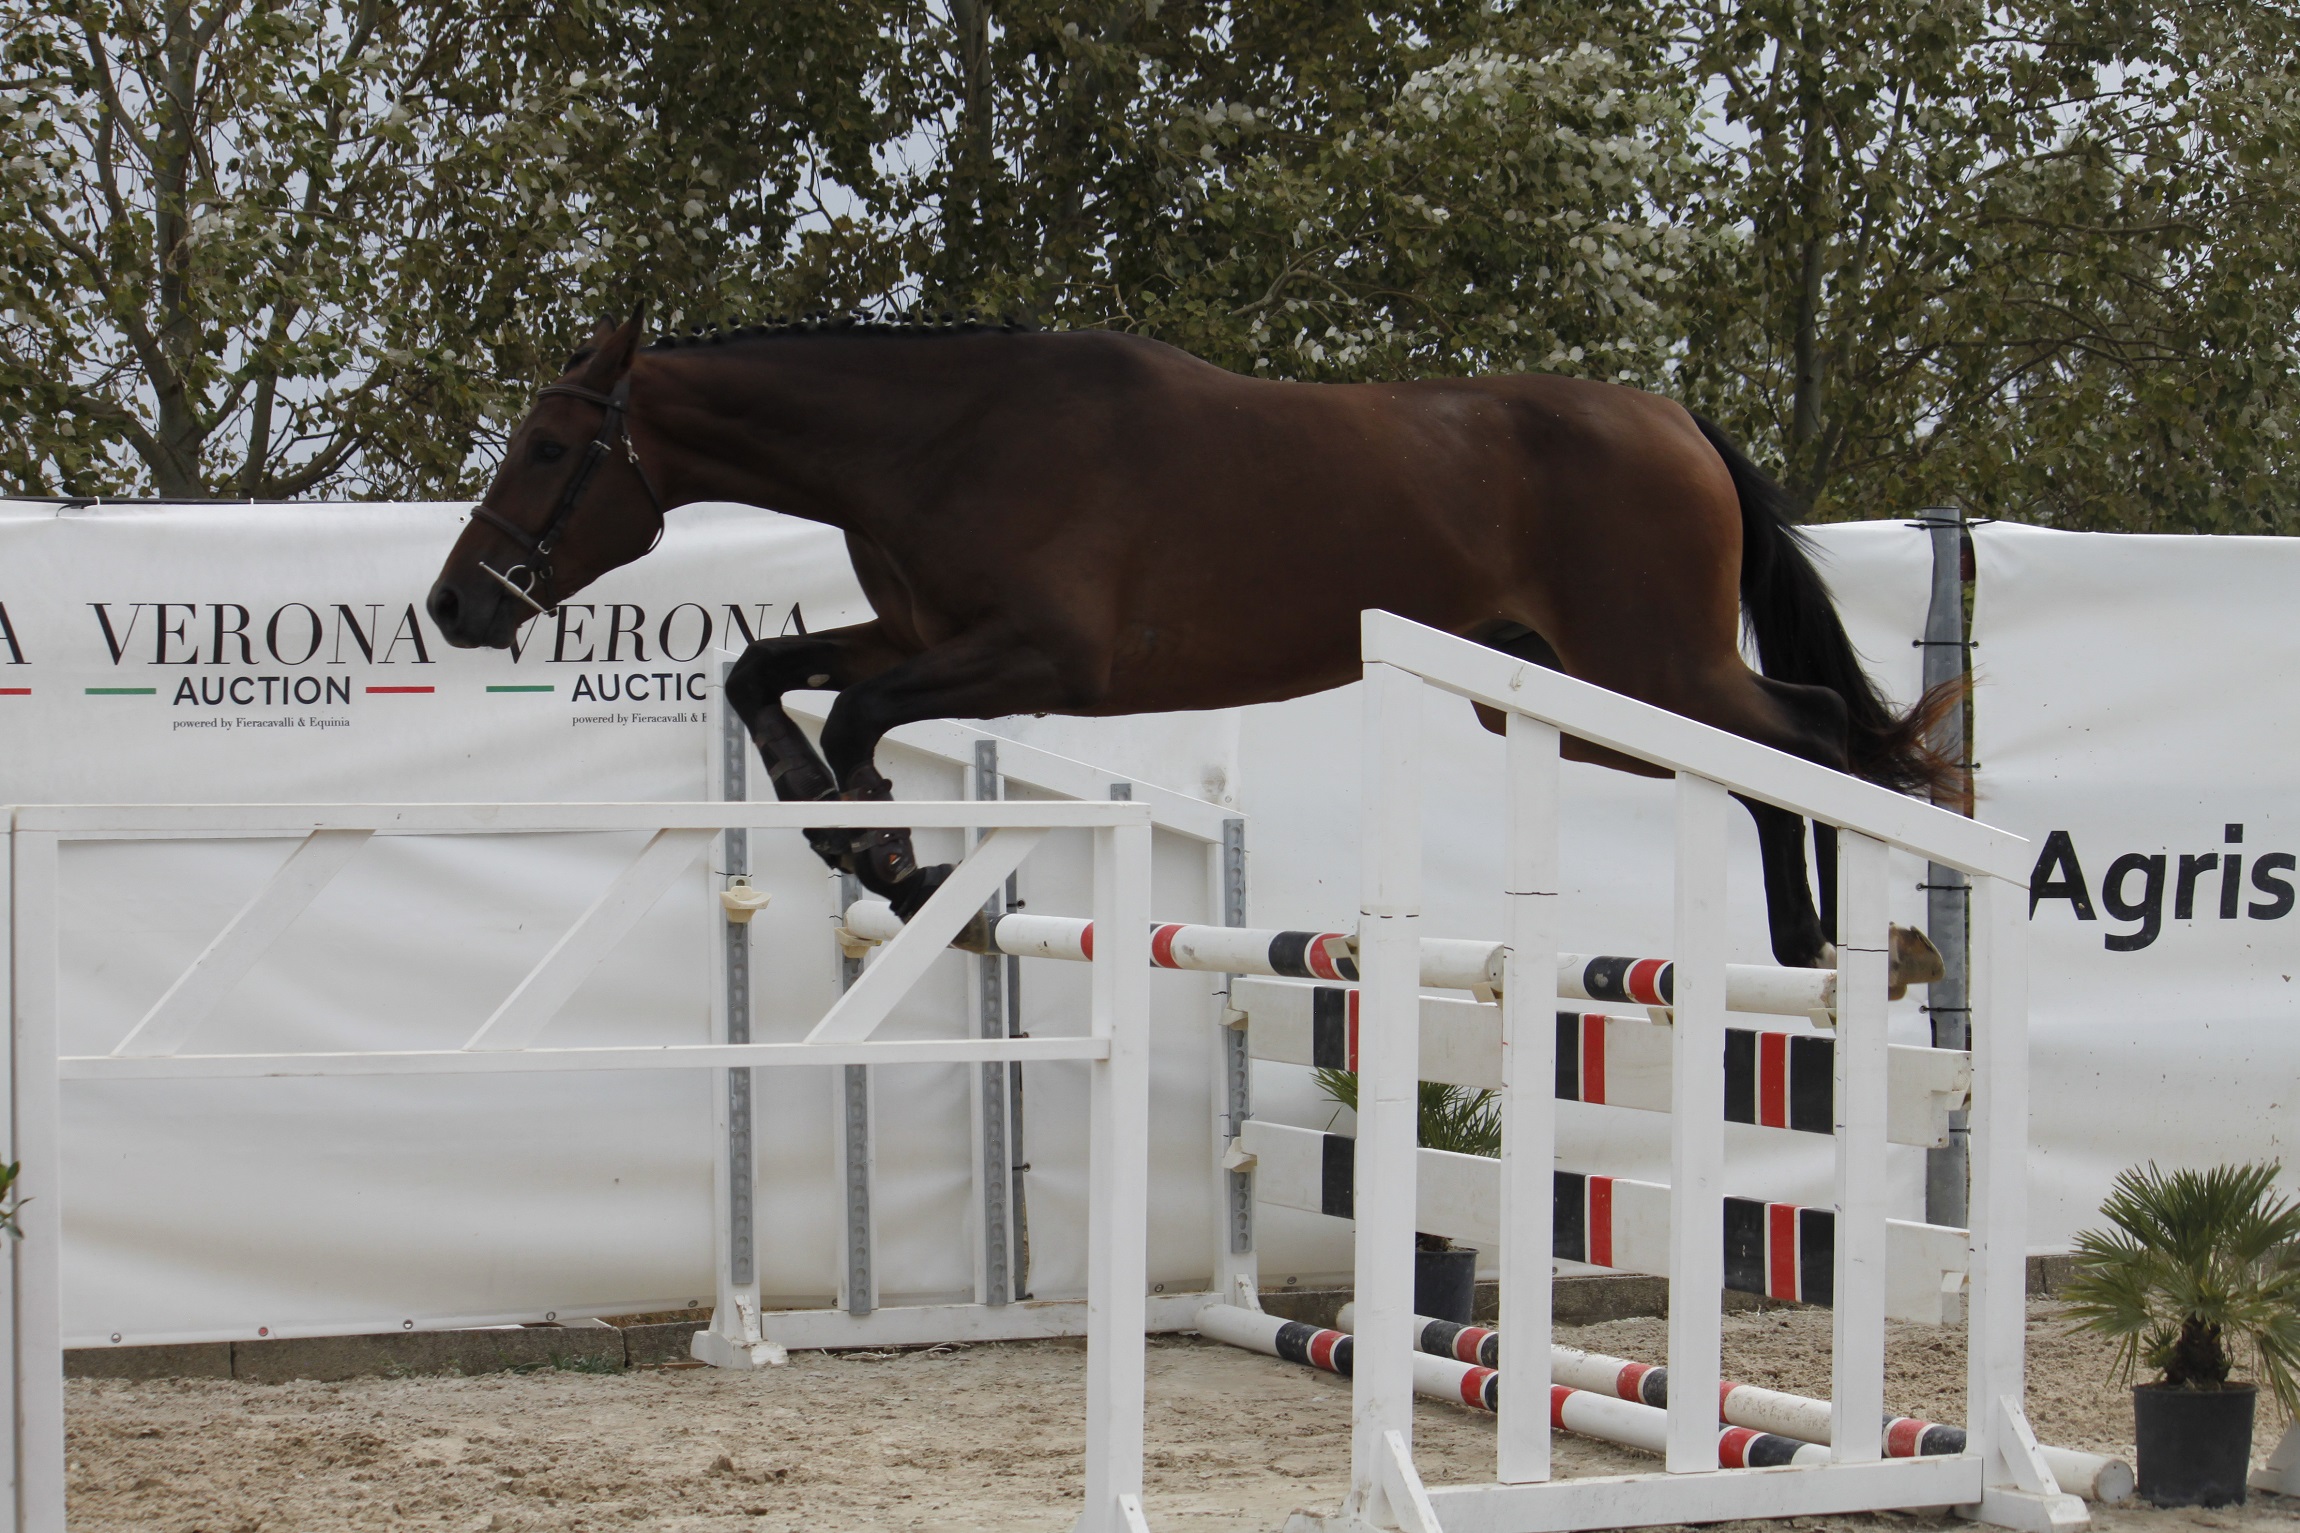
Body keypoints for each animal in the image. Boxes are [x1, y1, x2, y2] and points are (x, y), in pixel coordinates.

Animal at [426, 312, 1958, 979]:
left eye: (550, 449)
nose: (456, 607)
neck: (938, 440)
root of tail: (1675, 419)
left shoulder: (1039, 660)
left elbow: (859, 722)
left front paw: (899, 863)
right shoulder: (920, 632)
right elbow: (764, 674)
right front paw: (836, 828)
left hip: (1643, 672)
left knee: (1819, 738)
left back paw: (1849, 951)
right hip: (1575, 696)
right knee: (1784, 751)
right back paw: (1802, 955)